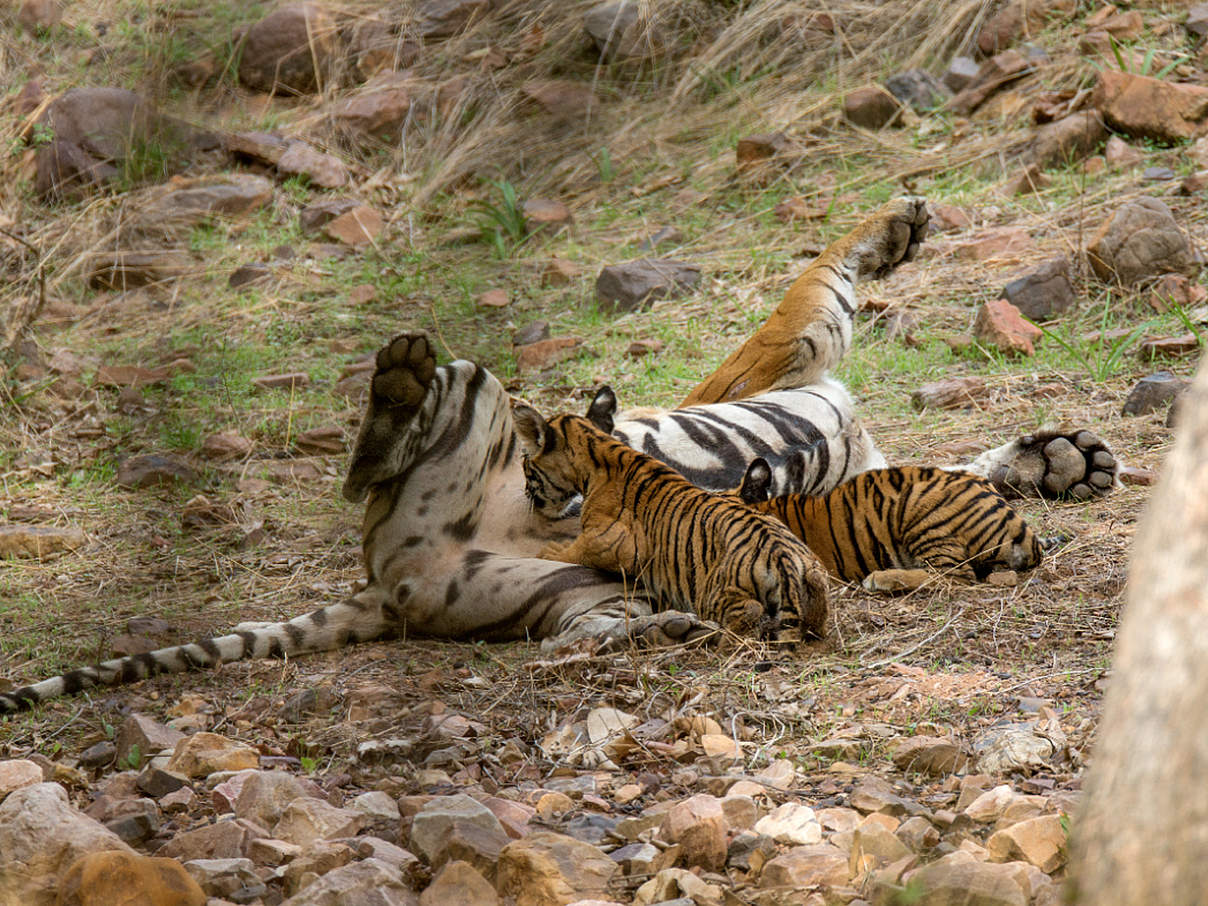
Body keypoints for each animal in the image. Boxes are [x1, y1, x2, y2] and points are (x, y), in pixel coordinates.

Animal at [512, 403, 831, 642]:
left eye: (525, 462)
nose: (526, 492)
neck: (597, 450)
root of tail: (782, 555)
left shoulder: (611, 544)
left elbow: (573, 551)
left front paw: (549, 551)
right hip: (814, 571)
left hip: (716, 591)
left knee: (748, 611)